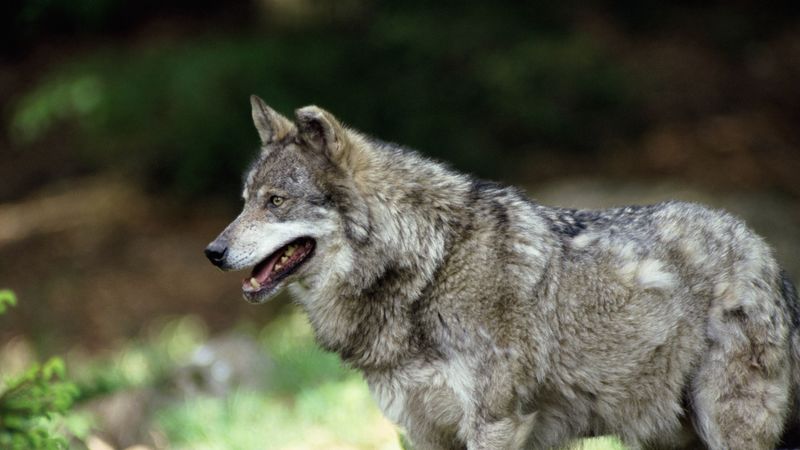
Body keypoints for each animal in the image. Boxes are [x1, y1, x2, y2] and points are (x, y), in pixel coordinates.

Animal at [205, 95, 800, 450]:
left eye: (275, 201)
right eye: (244, 201)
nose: (213, 251)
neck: (429, 266)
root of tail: (767, 255)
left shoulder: (495, 423)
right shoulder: (422, 431)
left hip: (725, 427)